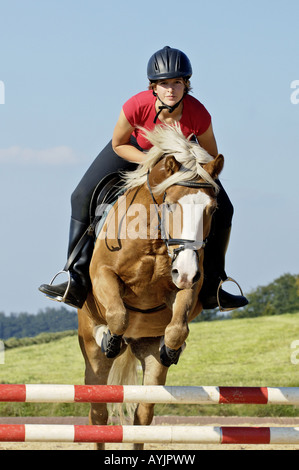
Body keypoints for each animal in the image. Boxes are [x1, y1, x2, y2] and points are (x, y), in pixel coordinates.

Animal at [78, 124, 224, 448]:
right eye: (169, 204)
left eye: (212, 209)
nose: (185, 272)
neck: (154, 239)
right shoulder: (103, 274)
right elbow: (118, 315)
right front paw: (109, 336)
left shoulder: (187, 285)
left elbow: (178, 326)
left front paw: (172, 349)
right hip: (91, 354)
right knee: (98, 415)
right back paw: (105, 338)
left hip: (147, 355)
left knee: (142, 417)